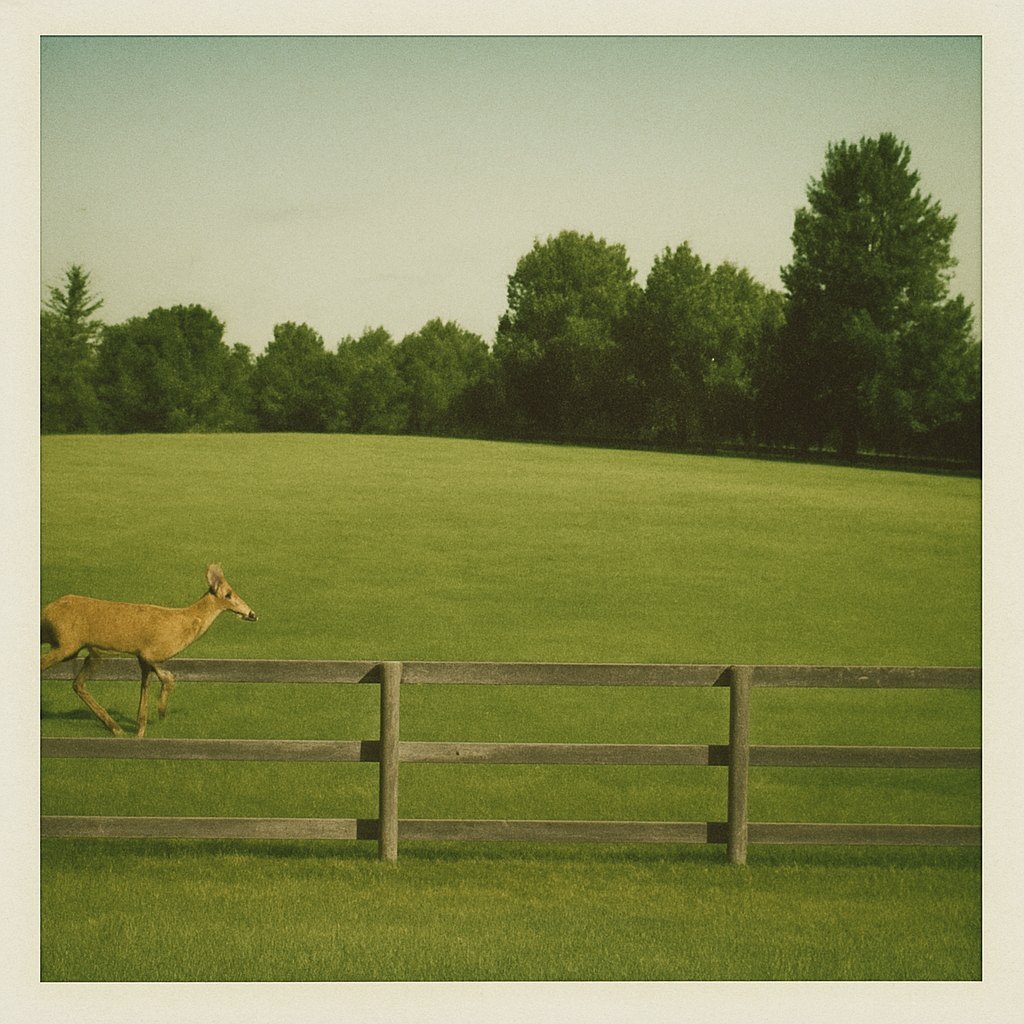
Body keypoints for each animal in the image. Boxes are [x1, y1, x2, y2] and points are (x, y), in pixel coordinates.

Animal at [40, 563, 257, 738]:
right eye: (228, 594)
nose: (252, 613)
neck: (184, 625)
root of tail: (45, 612)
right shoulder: (150, 651)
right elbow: (168, 678)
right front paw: (160, 713)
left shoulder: (141, 657)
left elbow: (145, 690)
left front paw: (140, 731)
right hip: (67, 644)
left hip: (86, 652)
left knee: (77, 683)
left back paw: (115, 728)